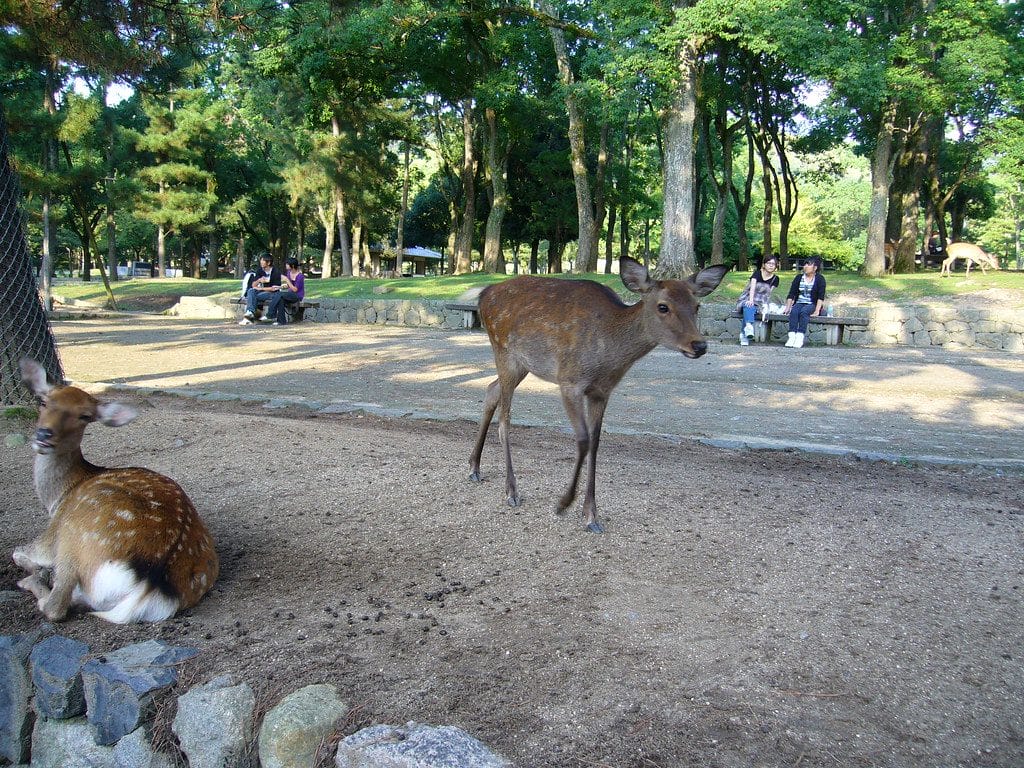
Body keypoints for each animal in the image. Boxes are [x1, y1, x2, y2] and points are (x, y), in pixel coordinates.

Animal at [13, 359, 218, 623]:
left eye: (84, 415)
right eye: (44, 402)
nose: (43, 435)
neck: (60, 495)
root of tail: (149, 584)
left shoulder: (49, 537)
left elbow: (18, 552)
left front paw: (35, 568)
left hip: (72, 540)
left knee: (56, 605)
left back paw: (32, 580)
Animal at [468, 256, 728, 533]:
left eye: (697, 306)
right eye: (663, 306)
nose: (699, 345)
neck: (607, 358)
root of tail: (483, 295)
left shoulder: (602, 392)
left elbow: (595, 442)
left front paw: (591, 515)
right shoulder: (569, 381)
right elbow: (582, 440)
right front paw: (564, 503)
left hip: (522, 365)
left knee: (491, 390)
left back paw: (474, 467)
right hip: (504, 352)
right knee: (505, 418)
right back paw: (511, 490)